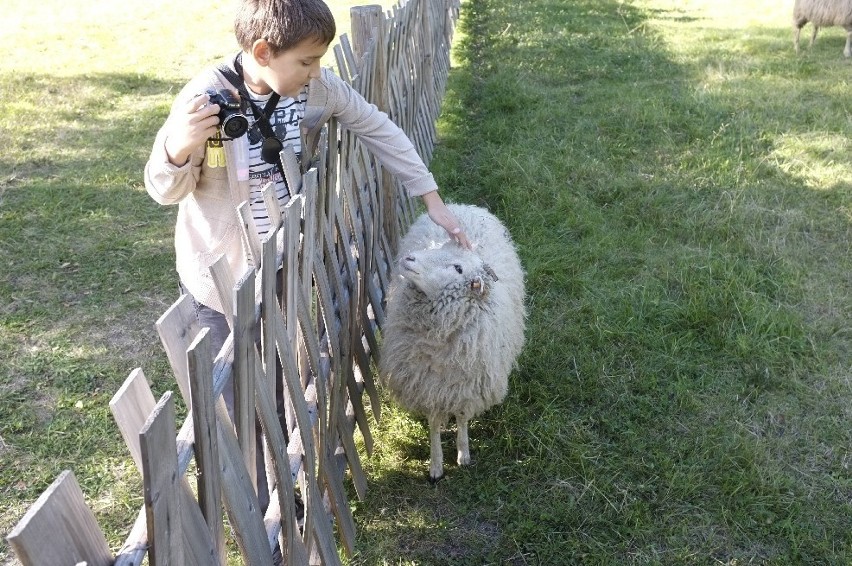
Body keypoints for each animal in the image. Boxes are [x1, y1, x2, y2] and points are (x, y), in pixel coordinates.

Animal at [382, 204, 524, 484]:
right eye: (439, 246)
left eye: (458, 268)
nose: (410, 258)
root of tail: (463, 206)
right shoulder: (425, 382)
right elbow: (434, 423)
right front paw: (436, 465)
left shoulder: (468, 383)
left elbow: (462, 416)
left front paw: (463, 453)